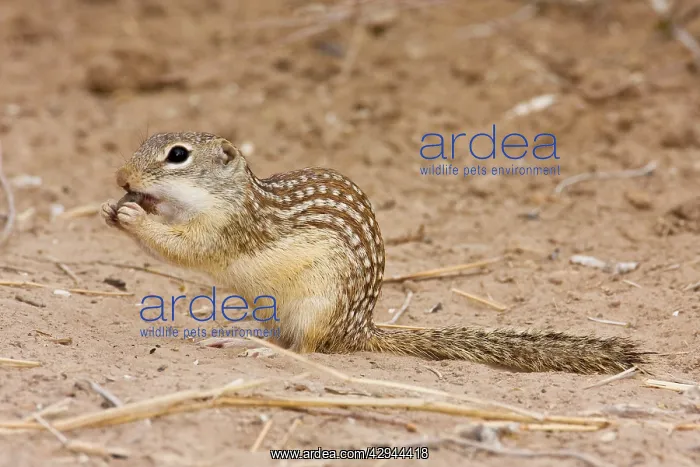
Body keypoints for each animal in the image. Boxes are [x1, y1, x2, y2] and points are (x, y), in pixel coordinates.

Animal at [101, 131, 650, 374]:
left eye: (177, 155)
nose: (121, 179)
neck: (229, 194)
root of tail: (358, 330)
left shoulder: (226, 229)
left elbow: (186, 248)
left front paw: (133, 218)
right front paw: (117, 207)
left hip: (316, 303)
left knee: (304, 348)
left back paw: (263, 349)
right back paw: (236, 338)